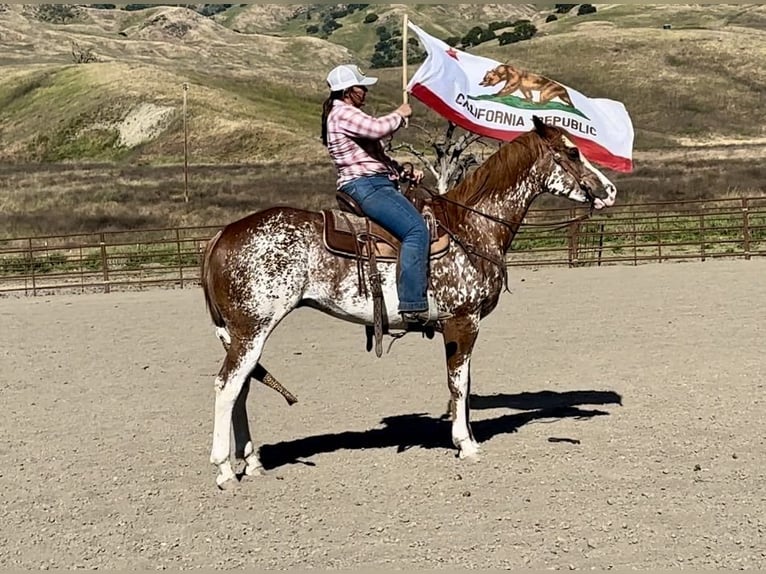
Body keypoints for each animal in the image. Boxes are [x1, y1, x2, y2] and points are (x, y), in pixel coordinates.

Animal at [200, 117, 616, 490]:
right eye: (573, 151)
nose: (610, 190)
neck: (470, 228)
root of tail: (222, 235)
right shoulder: (463, 321)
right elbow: (458, 383)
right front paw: (466, 445)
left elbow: (464, 383)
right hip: (253, 329)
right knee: (227, 385)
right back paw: (224, 470)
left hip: (240, 334)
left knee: (242, 387)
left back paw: (253, 463)